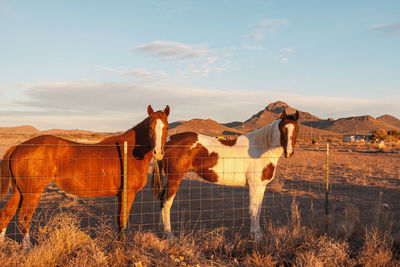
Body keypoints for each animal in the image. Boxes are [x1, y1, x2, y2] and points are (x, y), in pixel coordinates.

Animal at [0, 105, 170, 251]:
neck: (129, 152)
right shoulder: (127, 194)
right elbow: (122, 221)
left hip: (19, 193)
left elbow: (119, 220)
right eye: (149, 127)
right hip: (31, 193)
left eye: (166, 127)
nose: (158, 153)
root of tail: (17, 147)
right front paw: (123, 248)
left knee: (5, 215)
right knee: (23, 218)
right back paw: (28, 249)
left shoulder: (121, 195)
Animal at [152, 110, 296, 242]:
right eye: (282, 128)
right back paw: (169, 235)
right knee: (167, 203)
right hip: (174, 180)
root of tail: (166, 142)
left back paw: (161, 231)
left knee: (162, 201)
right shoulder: (255, 185)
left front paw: (258, 235)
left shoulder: (261, 185)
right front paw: (255, 237)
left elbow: (258, 209)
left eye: (296, 130)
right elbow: (254, 210)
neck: (260, 148)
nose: (289, 152)